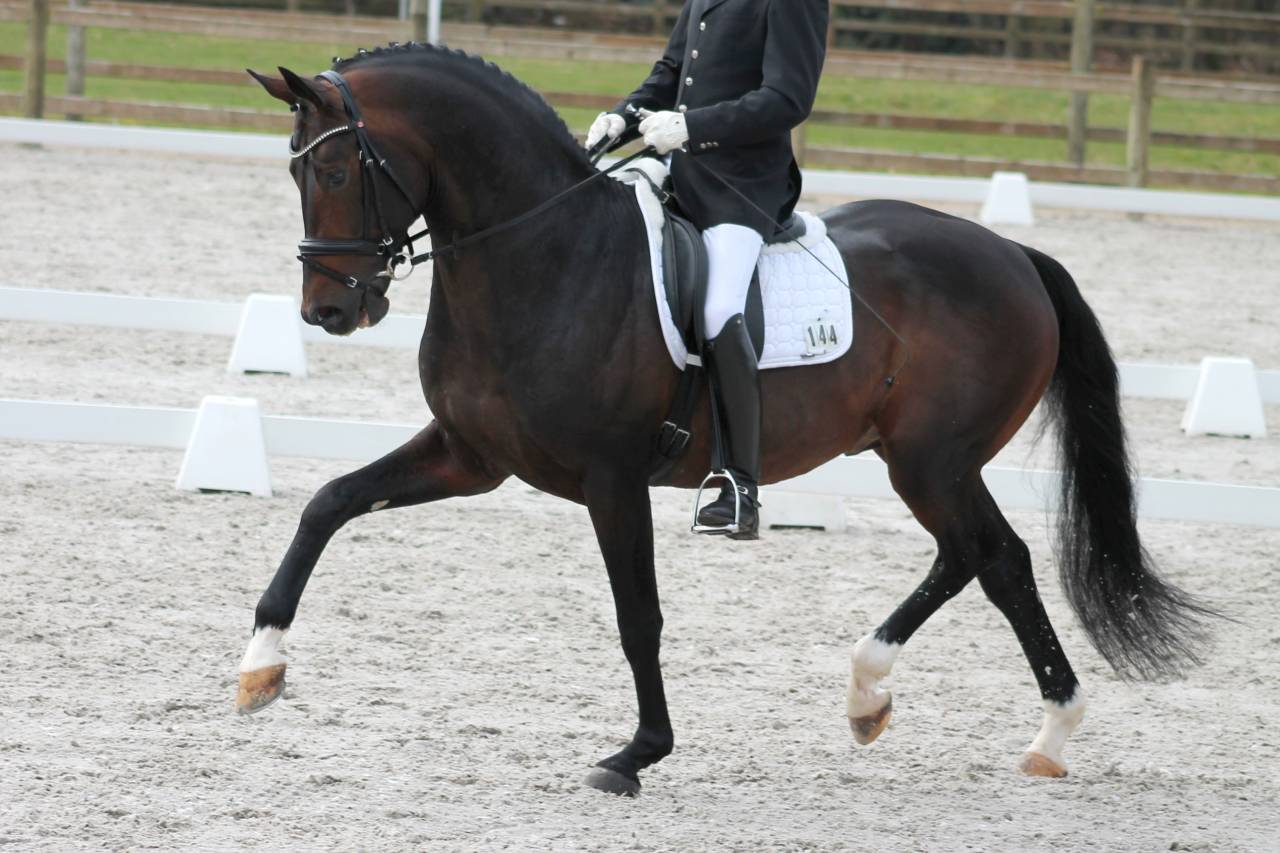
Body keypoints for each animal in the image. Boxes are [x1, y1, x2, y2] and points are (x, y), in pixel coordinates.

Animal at [236, 44, 1213, 796]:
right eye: (292, 169)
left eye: (333, 169)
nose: (330, 311)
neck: (543, 255)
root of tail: (1013, 253)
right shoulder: (471, 455)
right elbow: (328, 501)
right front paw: (258, 664)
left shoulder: (611, 477)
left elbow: (638, 614)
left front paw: (636, 754)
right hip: (920, 459)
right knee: (970, 555)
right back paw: (871, 695)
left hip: (932, 459)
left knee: (999, 560)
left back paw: (1049, 730)